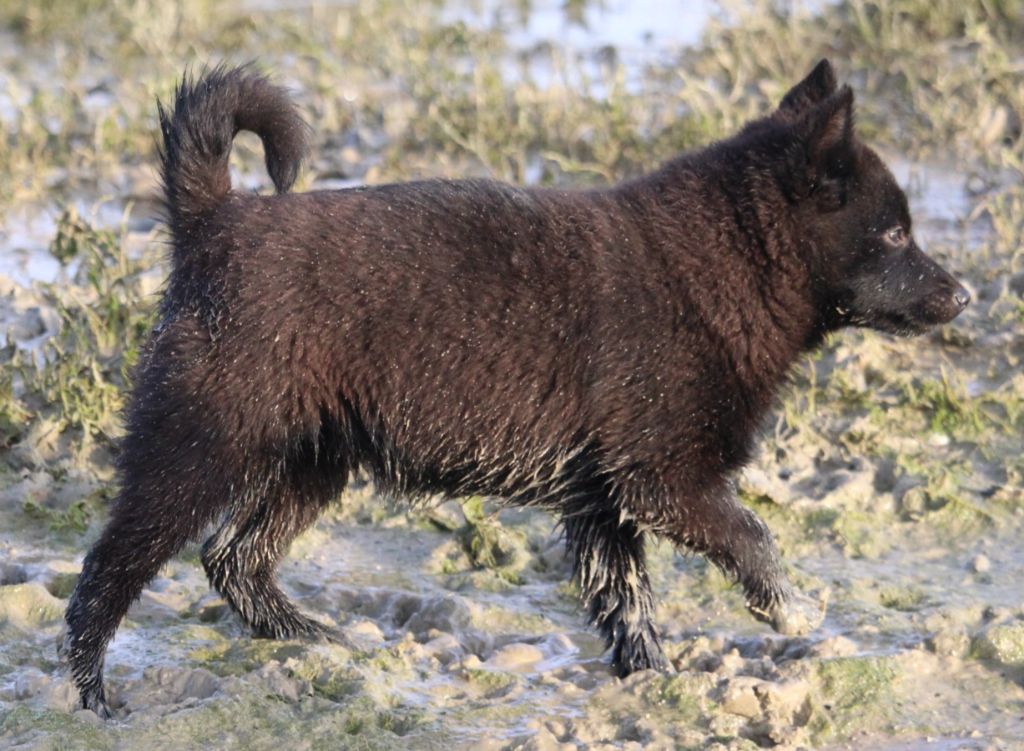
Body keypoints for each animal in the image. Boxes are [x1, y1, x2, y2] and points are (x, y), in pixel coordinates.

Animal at [61, 58, 966, 713]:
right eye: (893, 233)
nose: (965, 296)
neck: (721, 261)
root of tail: (215, 219)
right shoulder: (663, 479)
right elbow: (752, 533)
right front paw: (790, 610)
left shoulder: (604, 504)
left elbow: (628, 605)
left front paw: (657, 684)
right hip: (200, 439)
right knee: (108, 573)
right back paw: (93, 696)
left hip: (315, 453)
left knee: (233, 556)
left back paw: (313, 639)